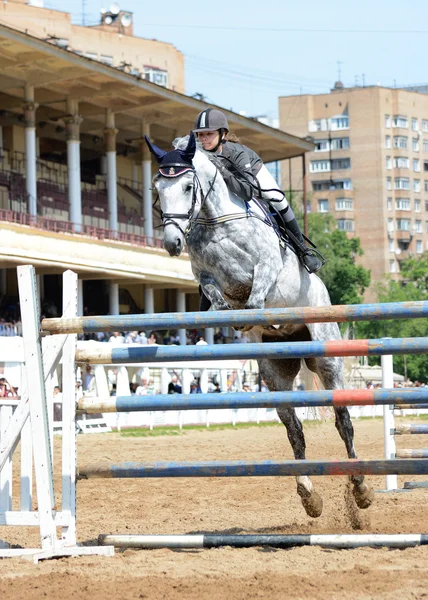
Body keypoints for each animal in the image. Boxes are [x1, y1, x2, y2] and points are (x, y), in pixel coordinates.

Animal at [147, 134, 374, 516]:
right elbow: (218, 296)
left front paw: (248, 317)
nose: (172, 243)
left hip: (327, 358)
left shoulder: (266, 266)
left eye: (188, 185)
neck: (217, 220)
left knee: (343, 419)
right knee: (293, 428)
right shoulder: (206, 276)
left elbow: (255, 299)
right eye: (157, 187)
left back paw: (360, 488)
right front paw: (230, 318)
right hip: (274, 371)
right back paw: (309, 495)